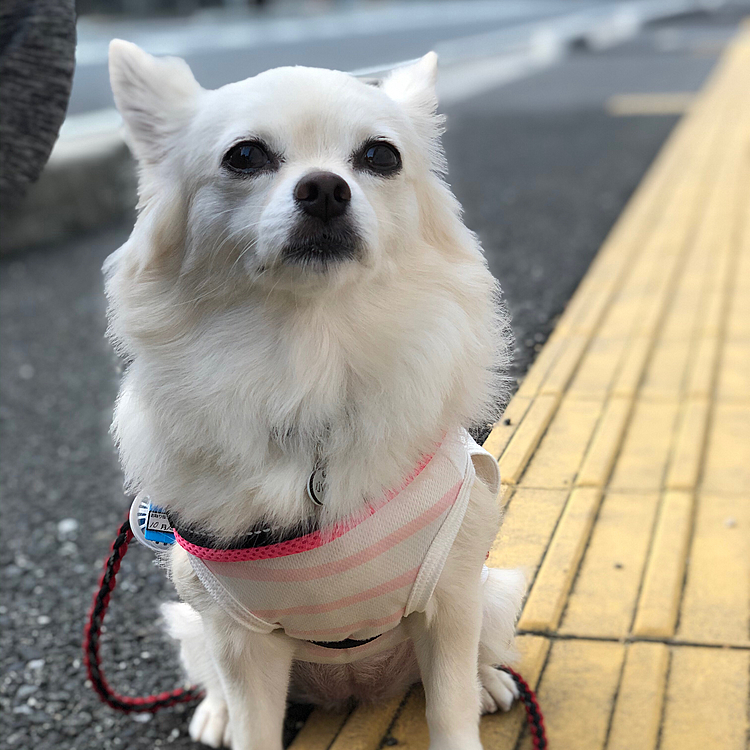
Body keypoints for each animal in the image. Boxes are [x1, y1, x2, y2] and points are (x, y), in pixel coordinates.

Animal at [106, 41, 524, 750]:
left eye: (380, 156)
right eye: (244, 155)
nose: (325, 187)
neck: (309, 362)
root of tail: (355, 689)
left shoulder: (451, 596)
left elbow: (450, 708)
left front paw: (469, 704)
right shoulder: (237, 636)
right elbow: (254, 725)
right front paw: (235, 720)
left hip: (491, 596)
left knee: (476, 660)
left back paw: (491, 681)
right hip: (195, 623)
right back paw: (215, 713)